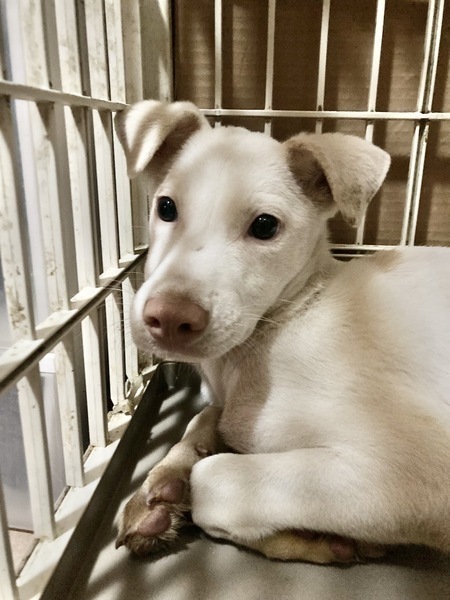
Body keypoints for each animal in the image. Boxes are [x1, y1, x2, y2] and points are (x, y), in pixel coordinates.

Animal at [114, 100, 450, 563]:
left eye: (265, 226)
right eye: (166, 207)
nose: (168, 319)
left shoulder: (412, 473)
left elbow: (216, 483)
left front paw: (318, 539)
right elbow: (204, 418)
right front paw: (162, 486)